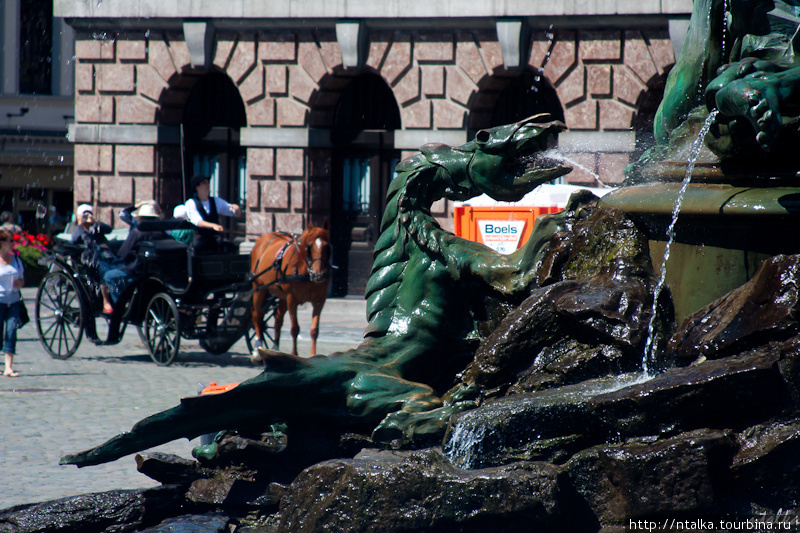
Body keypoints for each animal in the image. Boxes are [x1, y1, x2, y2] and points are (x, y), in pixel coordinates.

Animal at [250, 220, 332, 358]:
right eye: (309, 247)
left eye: (327, 247)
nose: (319, 275)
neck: (306, 272)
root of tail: (262, 238)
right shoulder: (292, 299)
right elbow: (294, 328)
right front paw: (294, 354)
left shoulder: (319, 300)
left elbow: (314, 330)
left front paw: (313, 355)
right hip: (259, 287)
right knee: (257, 315)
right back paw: (257, 349)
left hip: (281, 295)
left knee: (278, 319)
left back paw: (275, 349)